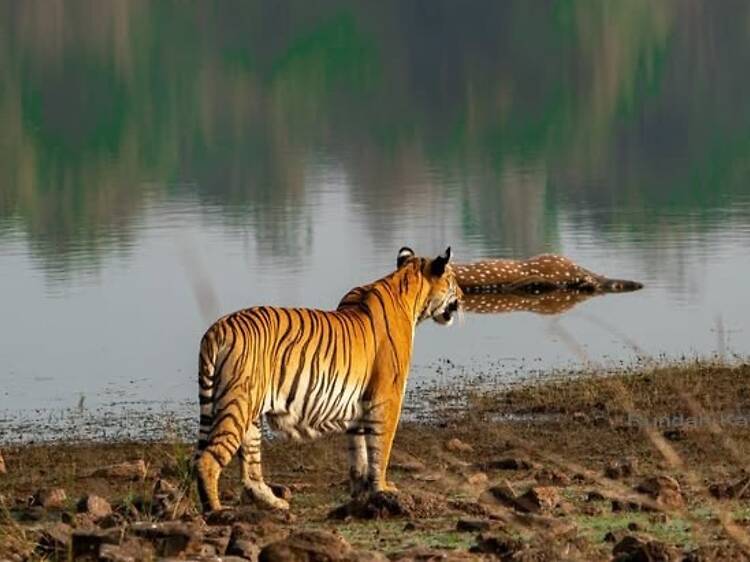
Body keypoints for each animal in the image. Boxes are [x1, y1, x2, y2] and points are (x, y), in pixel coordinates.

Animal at [194, 246, 462, 512]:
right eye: (452, 279)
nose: (461, 295)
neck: (407, 291)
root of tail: (217, 329)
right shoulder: (387, 397)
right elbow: (381, 448)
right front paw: (383, 489)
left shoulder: (359, 404)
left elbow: (359, 453)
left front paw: (361, 492)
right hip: (237, 406)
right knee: (207, 460)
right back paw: (216, 511)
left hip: (250, 417)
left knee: (245, 468)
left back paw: (275, 502)